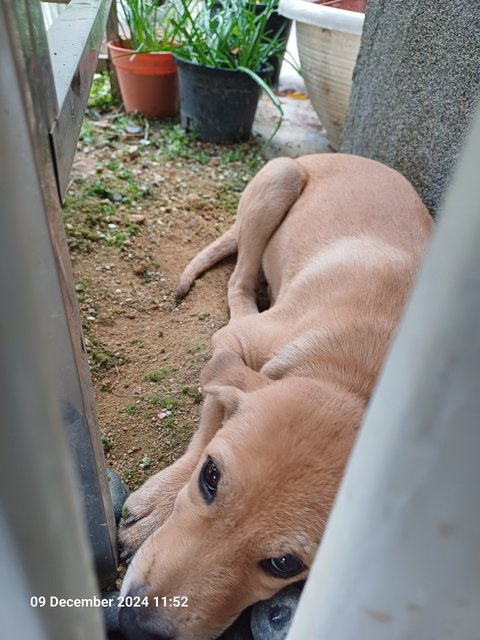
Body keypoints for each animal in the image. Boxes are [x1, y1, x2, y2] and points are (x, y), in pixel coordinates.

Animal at [118, 154, 434, 640]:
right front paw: (157, 507)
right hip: (278, 179)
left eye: (284, 564)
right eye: (210, 478)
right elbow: (208, 428)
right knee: (240, 279)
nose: (136, 627)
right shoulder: (231, 346)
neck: (352, 377)